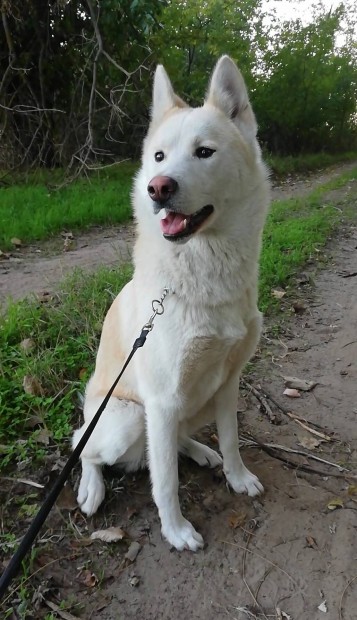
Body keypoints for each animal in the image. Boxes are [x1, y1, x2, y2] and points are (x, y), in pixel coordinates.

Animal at [74, 55, 270, 548]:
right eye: (159, 157)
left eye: (205, 152)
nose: (158, 188)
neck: (204, 272)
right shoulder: (161, 401)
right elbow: (165, 481)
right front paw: (176, 530)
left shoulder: (229, 382)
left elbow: (231, 438)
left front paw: (238, 477)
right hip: (128, 417)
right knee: (84, 447)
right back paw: (90, 487)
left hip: (192, 406)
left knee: (170, 443)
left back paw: (200, 451)